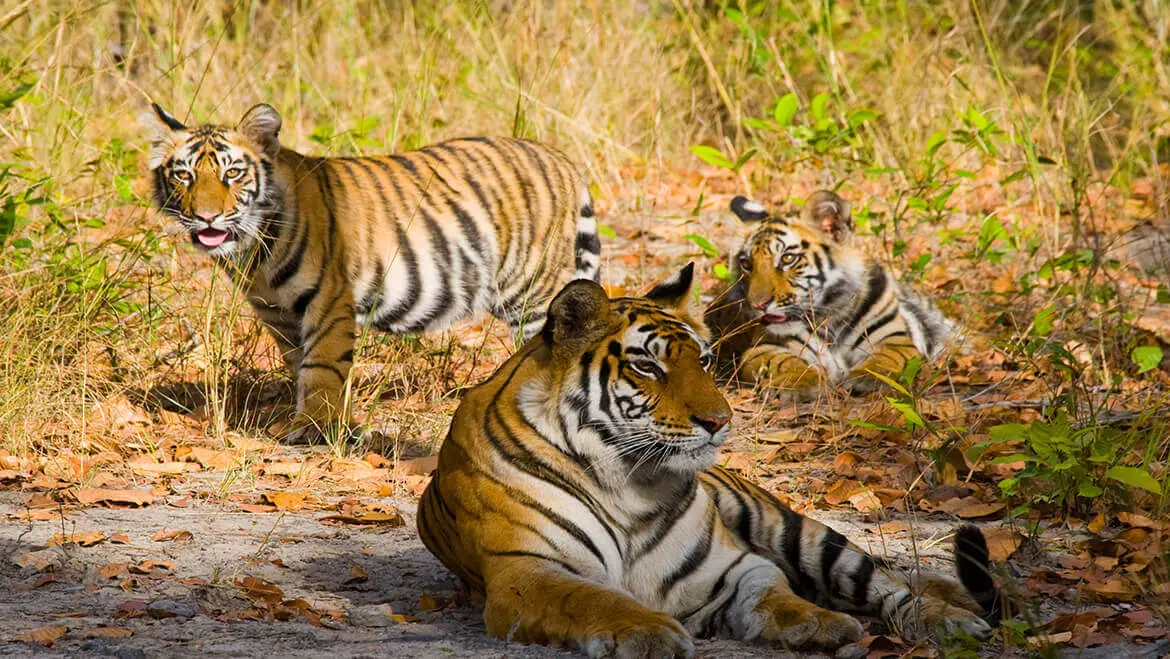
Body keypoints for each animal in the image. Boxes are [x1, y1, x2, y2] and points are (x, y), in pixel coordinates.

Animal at [141, 103, 600, 442]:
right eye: (184, 175)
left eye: (232, 173)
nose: (207, 218)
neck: (254, 253)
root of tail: (559, 157)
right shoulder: (277, 314)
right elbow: (299, 364)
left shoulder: (328, 299)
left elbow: (322, 366)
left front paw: (311, 428)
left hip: (532, 292)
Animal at [417, 264, 998, 657]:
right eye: (647, 366)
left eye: (704, 359)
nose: (720, 420)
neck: (626, 481)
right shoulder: (529, 570)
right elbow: (595, 600)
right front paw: (649, 631)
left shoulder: (732, 566)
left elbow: (775, 594)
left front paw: (816, 622)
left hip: (800, 531)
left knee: (890, 585)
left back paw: (953, 620)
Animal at [705, 190, 956, 393]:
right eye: (747, 264)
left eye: (787, 258)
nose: (757, 304)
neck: (830, 317)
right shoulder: (764, 347)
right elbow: (781, 363)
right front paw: (802, 383)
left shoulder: (894, 337)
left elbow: (888, 357)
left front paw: (866, 377)